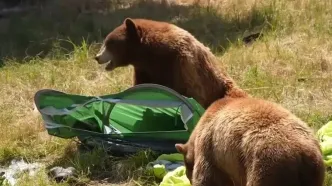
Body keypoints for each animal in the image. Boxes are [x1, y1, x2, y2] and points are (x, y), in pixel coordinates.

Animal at [93, 18, 246, 108]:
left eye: (109, 43)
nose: (97, 57)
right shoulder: (143, 69)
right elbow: (140, 85)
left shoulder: (181, 62)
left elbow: (192, 91)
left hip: (223, 87)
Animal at [175, 97, 326, 186]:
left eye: (187, 170)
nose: (189, 179)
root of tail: (302, 154)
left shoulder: (210, 150)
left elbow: (207, 179)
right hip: (314, 174)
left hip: (265, 167)